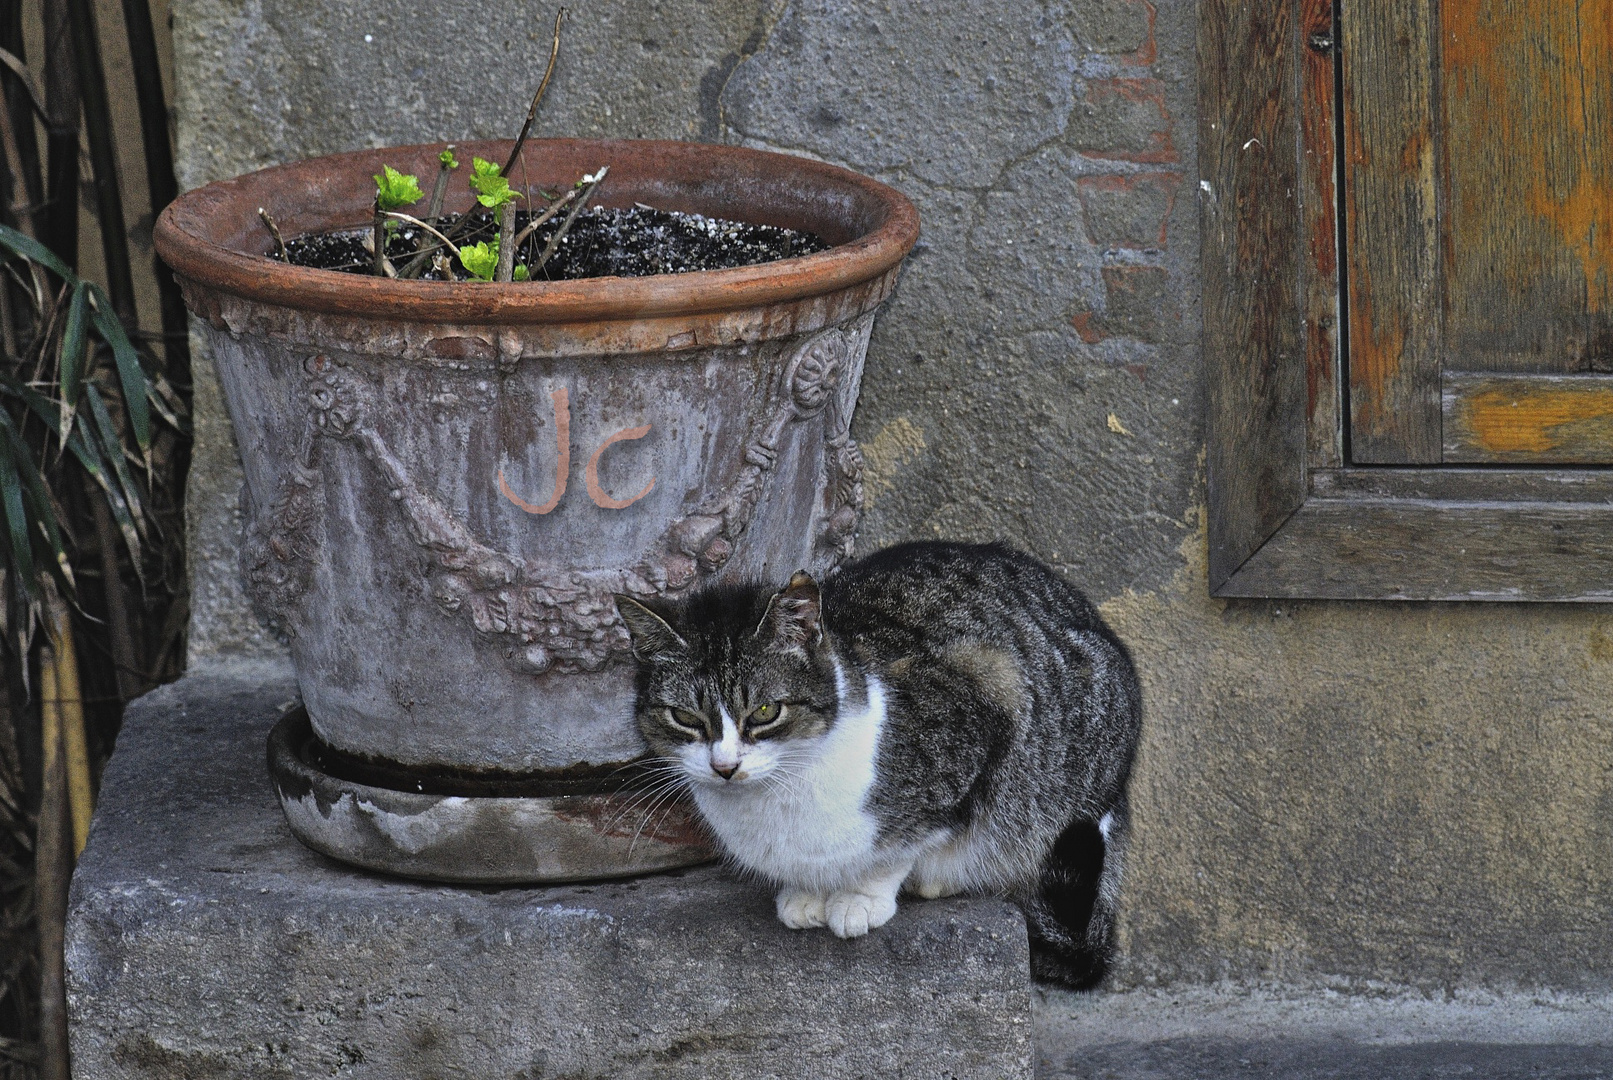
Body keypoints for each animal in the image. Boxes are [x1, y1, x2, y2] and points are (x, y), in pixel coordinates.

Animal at [609, 541, 1142, 992]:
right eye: (684, 717)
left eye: (764, 711)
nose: (724, 766)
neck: (780, 794)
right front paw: (807, 893)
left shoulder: (982, 708)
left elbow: (901, 845)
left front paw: (861, 899)